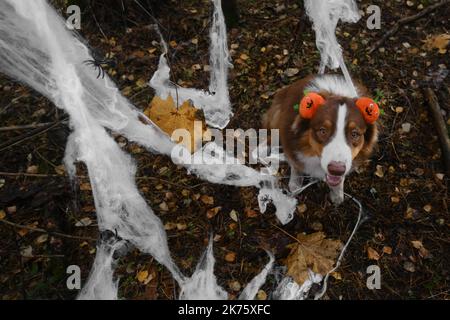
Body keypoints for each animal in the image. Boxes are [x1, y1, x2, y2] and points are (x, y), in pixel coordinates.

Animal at [264, 74, 380, 204]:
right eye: (323, 131)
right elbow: (295, 165)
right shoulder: (290, 143)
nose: (336, 170)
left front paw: (337, 193)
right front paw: (295, 182)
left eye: (354, 134)